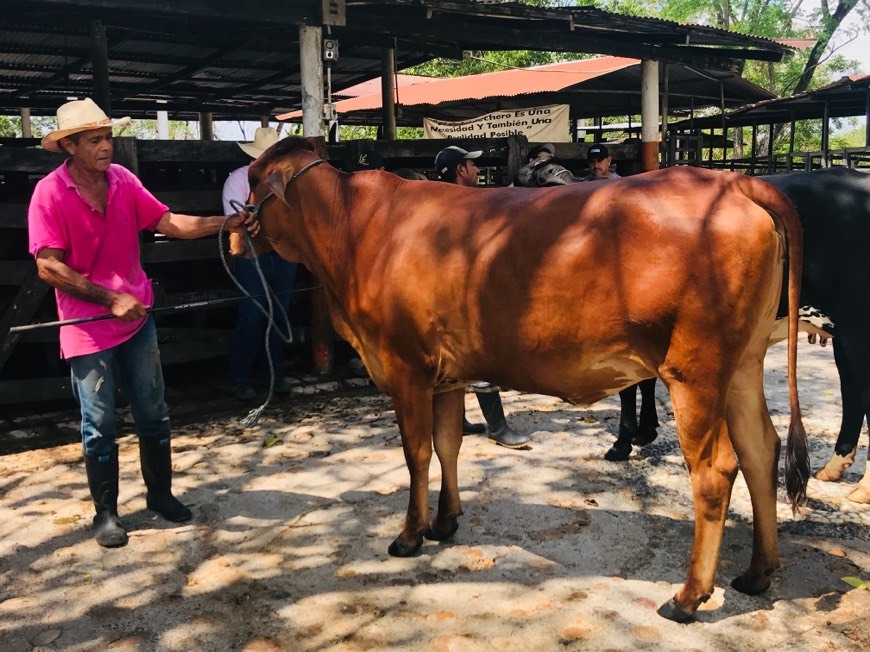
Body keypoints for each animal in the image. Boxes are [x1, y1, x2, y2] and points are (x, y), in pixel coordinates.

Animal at [244, 138, 812, 620]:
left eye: (250, 179)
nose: (234, 227)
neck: (355, 230)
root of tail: (732, 181)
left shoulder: (406, 368)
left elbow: (417, 452)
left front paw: (410, 535)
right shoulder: (446, 375)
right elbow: (448, 443)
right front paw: (446, 521)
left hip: (695, 370)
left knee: (715, 471)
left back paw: (689, 597)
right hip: (742, 365)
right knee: (761, 449)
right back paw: (758, 572)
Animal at [608, 168, 870, 504]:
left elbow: (630, 388)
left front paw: (625, 440)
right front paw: (642, 432)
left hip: (857, 330)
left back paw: (863, 487)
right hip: (845, 336)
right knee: (852, 394)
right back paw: (834, 468)